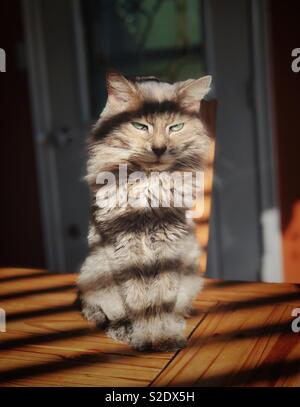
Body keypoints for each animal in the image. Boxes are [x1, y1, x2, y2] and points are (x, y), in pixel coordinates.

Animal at [78, 71, 212, 352]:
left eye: (175, 127)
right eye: (140, 127)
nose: (159, 149)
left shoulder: (169, 243)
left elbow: (162, 298)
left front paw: (164, 337)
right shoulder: (127, 245)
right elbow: (139, 301)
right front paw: (145, 338)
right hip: (93, 274)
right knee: (105, 313)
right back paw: (122, 331)